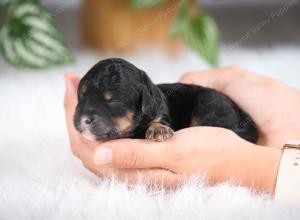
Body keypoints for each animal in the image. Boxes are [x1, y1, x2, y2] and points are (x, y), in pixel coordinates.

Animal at [73, 57, 258, 143]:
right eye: (82, 96)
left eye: (113, 101)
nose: (84, 119)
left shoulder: (160, 109)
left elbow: (160, 118)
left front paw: (158, 130)